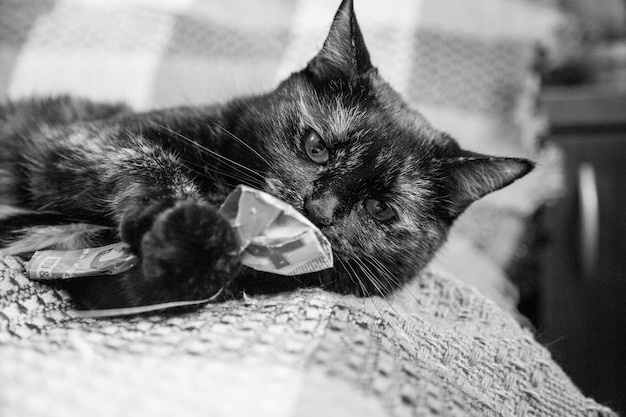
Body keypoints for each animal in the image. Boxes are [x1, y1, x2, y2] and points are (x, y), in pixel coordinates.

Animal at [0, 0, 532, 308]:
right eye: (316, 147)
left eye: (380, 208)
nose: (318, 208)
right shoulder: (82, 138)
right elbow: (153, 161)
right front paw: (192, 227)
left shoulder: (118, 291)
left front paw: (189, 252)